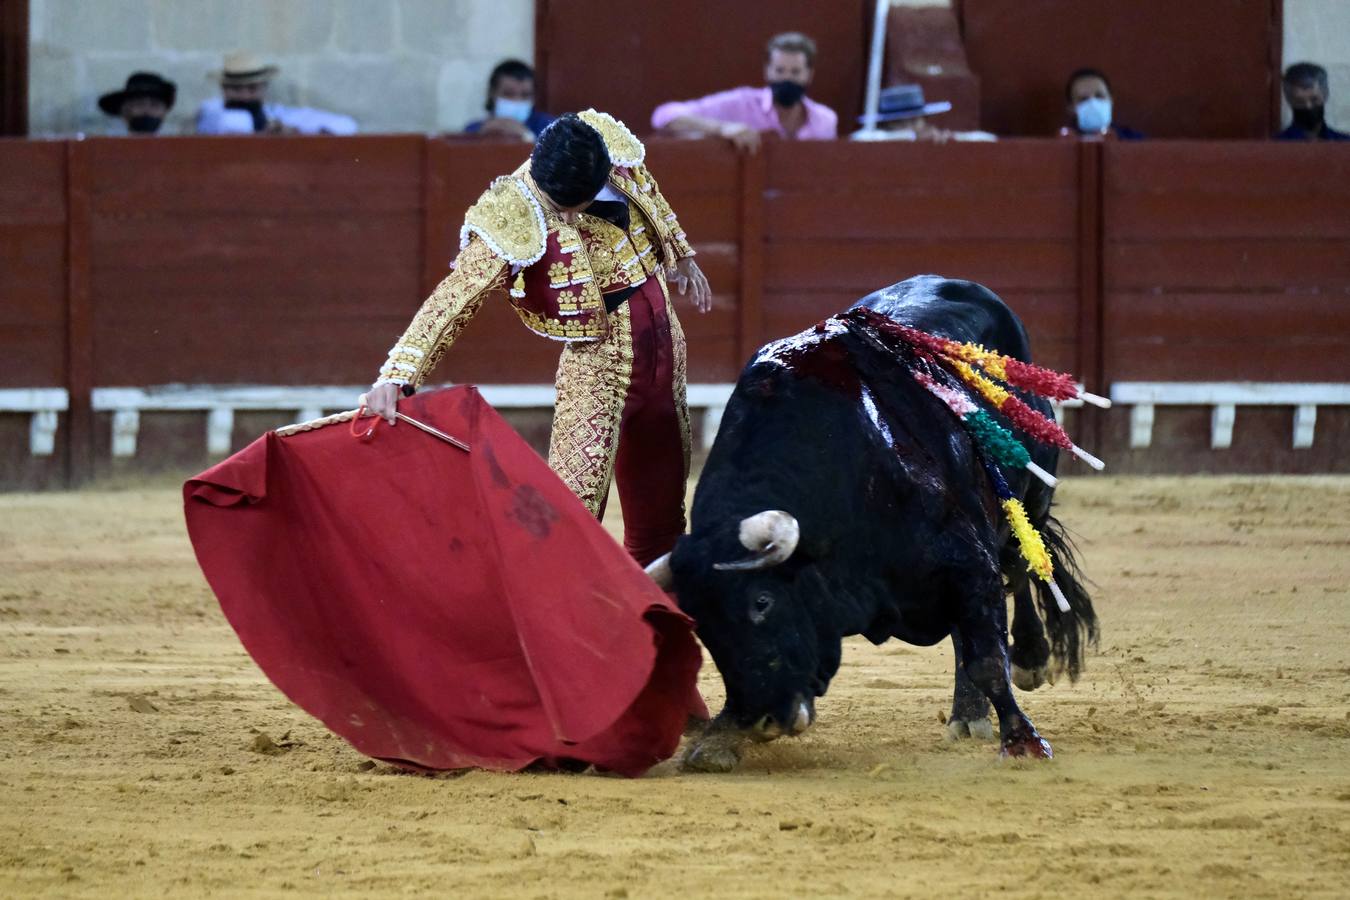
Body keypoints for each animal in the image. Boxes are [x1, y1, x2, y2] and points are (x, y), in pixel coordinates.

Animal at [648, 276, 1101, 777]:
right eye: (701, 625)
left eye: (762, 602)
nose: (763, 719)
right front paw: (719, 738)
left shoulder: (968, 560)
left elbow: (987, 657)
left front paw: (1024, 740)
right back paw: (967, 715)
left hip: (1029, 495)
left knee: (1021, 567)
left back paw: (1028, 660)